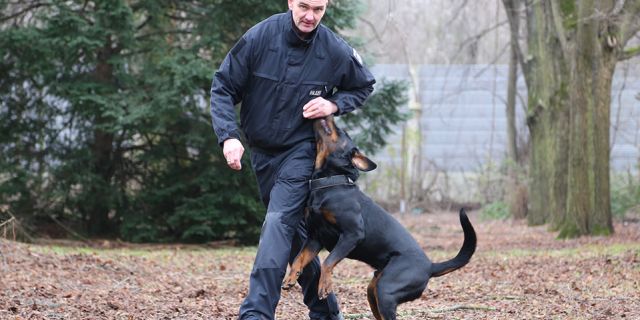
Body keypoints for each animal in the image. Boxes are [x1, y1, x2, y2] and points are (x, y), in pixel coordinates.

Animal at [282, 115, 478, 320]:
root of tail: (431, 266)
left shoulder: (352, 234)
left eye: (342, 132)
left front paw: (324, 286)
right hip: (373, 290)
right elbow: (299, 258)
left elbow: (328, 262)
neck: (328, 184)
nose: (328, 114)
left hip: (386, 290)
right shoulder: (315, 237)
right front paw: (290, 278)